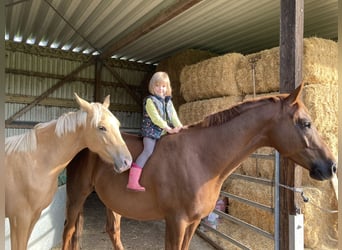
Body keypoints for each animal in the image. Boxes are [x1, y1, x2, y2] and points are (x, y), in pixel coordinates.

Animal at [6, 94, 134, 250]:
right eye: (101, 127)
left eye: (117, 124)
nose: (127, 162)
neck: (34, 161)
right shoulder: (19, 219)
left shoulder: (33, 216)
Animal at [62, 84, 336, 250]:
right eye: (306, 123)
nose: (331, 166)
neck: (202, 159)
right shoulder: (176, 222)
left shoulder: (193, 222)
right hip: (76, 195)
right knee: (68, 230)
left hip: (113, 202)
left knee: (112, 231)